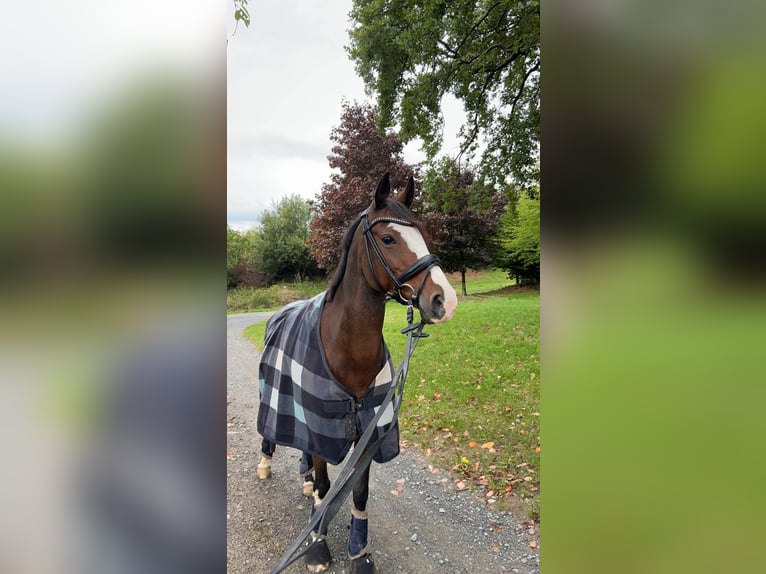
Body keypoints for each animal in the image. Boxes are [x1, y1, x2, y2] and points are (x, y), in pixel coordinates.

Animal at [256, 173, 458, 573]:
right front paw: (317, 547)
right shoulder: (320, 425)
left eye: (425, 232)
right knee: (271, 436)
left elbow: (359, 492)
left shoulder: (369, 429)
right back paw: (265, 464)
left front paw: (359, 552)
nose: (445, 300)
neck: (345, 347)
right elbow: (325, 486)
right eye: (389, 238)